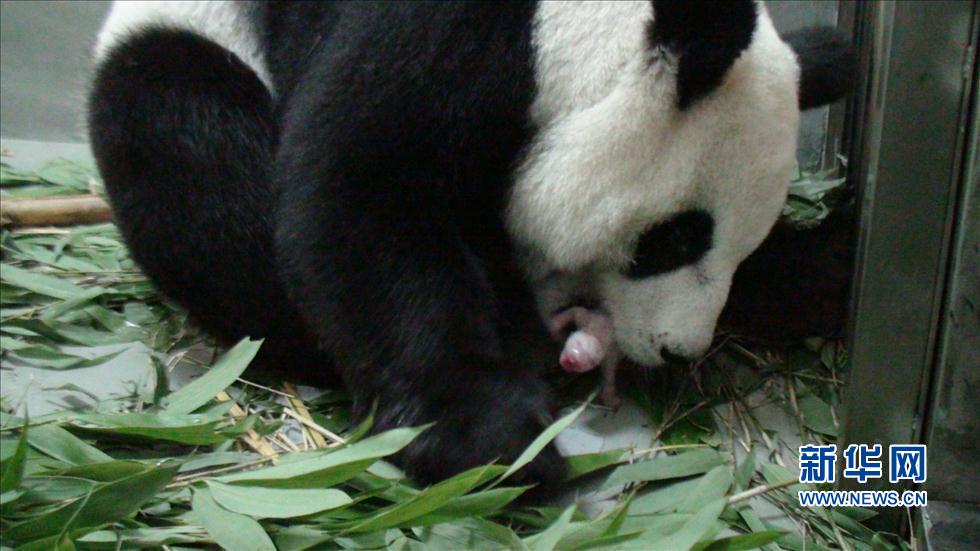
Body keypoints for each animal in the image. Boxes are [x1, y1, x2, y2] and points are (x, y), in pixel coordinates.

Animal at [86, 1, 848, 500]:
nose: (678, 349)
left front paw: (819, 271)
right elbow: (360, 192)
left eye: (740, 246)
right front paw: (493, 437)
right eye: (677, 236)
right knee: (197, 152)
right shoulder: (442, 39)